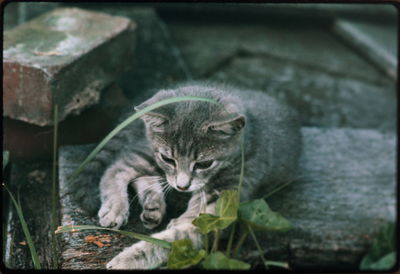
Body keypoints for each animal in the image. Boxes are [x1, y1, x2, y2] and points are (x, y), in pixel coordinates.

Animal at [69, 82, 300, 270]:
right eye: (168, 158)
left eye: (204, 164)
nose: (182, 186)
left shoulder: (218, 211)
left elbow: (173, 238)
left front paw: (129, 258)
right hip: (147, 152)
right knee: (118, 167)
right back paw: (116, 207)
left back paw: (153, 206)